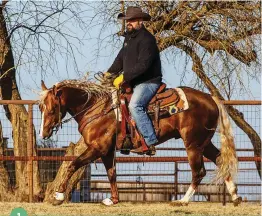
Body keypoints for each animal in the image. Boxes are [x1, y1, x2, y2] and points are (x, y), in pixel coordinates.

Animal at [38, 79, 242, 206]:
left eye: (52, 108)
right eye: (40, 107)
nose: (43, 133)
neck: (96, 109)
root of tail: (211, 98)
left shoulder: (97, 148)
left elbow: (73, 164)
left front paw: (58, 196)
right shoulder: (107, 151)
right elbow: (111, 174)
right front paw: (113, 200)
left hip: (192, 144)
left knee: (199, 171)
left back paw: (182, 201)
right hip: (204, 143)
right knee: (220, 160)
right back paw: (235, 196)